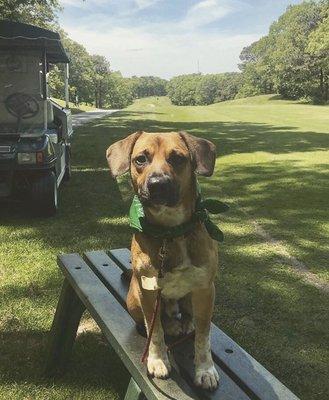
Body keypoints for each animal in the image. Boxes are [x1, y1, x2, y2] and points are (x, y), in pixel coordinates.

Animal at [107, 131, 218, 390]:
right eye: (140, 159)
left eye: (178, 158)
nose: (158, 184)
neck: (171, 233)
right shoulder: (148, 291)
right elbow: (155, 330)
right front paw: (157, 360)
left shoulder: (205, 289)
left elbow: (204, 336)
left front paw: (205, 369)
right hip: (135, 299)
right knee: (154, 323)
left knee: (187, 316)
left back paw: (184, 322)